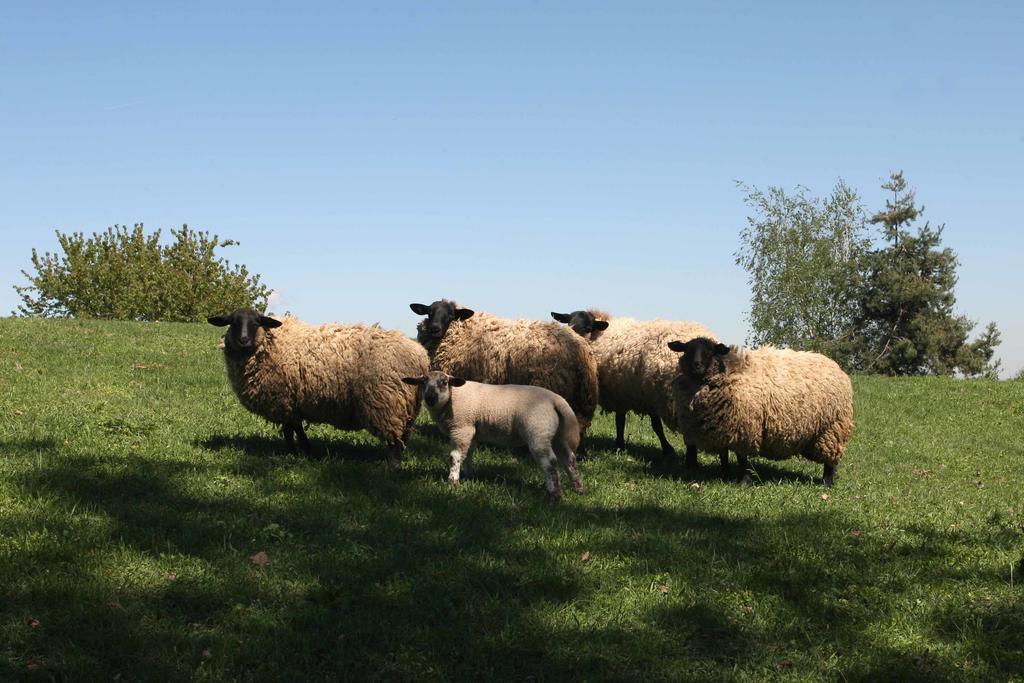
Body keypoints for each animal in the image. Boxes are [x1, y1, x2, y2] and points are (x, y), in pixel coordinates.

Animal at [207, 309, 428, 464]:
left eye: (256, 322)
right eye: (233, 322)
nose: (243, 340)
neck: (271, 343)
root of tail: (419, 355)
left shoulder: (283, 400)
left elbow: (291, 429)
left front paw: (297, 452)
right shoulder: (291, 403)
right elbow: (293, 428)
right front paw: (302, 451)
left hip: (387, 403)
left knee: (394, 440)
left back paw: (393, 466)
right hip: (407, 405)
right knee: (404, 435)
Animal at [399, 370, 585, 499]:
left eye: (444, 382)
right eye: (422, 382)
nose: (430, 397)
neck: (452, 397)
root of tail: (557, 401)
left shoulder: (462, 428)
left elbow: (455, 456)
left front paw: (453, 482)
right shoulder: (472, 430)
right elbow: (469, 453)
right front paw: (469, 474)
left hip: (538, 433)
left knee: (549, 462)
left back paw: (554, 494)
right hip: (559, 436)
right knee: (569, 459)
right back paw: (578, 488)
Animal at [407, 301, 598, 444]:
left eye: (450, 315)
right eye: (429, 312)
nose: (434, 328)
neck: (461, 332)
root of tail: (580, 349)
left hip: (554, 385)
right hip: (581, 397)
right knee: (579, 423)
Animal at [552, 309, 720, 464]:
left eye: (588, 328)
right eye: (568, 323)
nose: (572, 340)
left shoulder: (645, 396)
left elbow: (652, 426)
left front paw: (666, 449)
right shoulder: (626, 394)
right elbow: (624, 421)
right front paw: (620, 446)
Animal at [667, 335, 851, 485]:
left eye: (710, 351)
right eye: (687, 350)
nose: (696, 365)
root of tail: (834, 365)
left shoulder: (743, 428)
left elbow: (742, 458)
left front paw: (744, 481)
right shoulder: (721, 428)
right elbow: (723, 456)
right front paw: (725, 476)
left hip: (832, 429)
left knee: (830, 460)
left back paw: (827, 482)